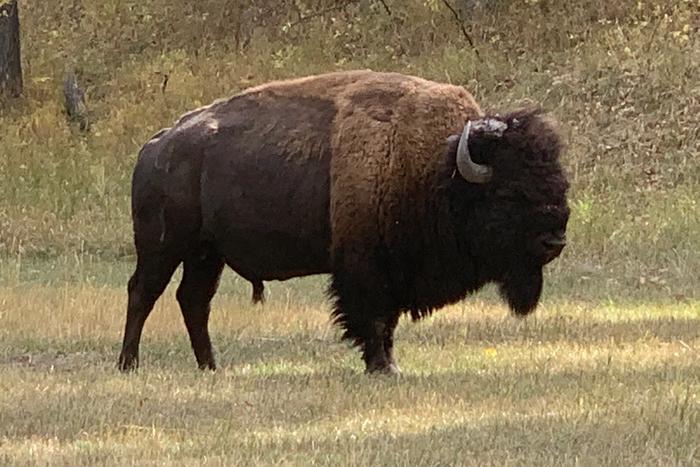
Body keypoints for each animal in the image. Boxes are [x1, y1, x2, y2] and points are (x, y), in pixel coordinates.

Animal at [118, 70, 569, 374]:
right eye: (509, 193)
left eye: (559, 182)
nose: (555, 241)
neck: (437, 170)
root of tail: (155, 145)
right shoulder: (365, 268)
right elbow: (372, 318)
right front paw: (382, 366)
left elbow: (387, 321)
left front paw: (388, 363)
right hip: (164, 247)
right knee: (143, 292)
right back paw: (129, 363)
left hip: (207, 254)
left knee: (193, 300)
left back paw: (210, 366)